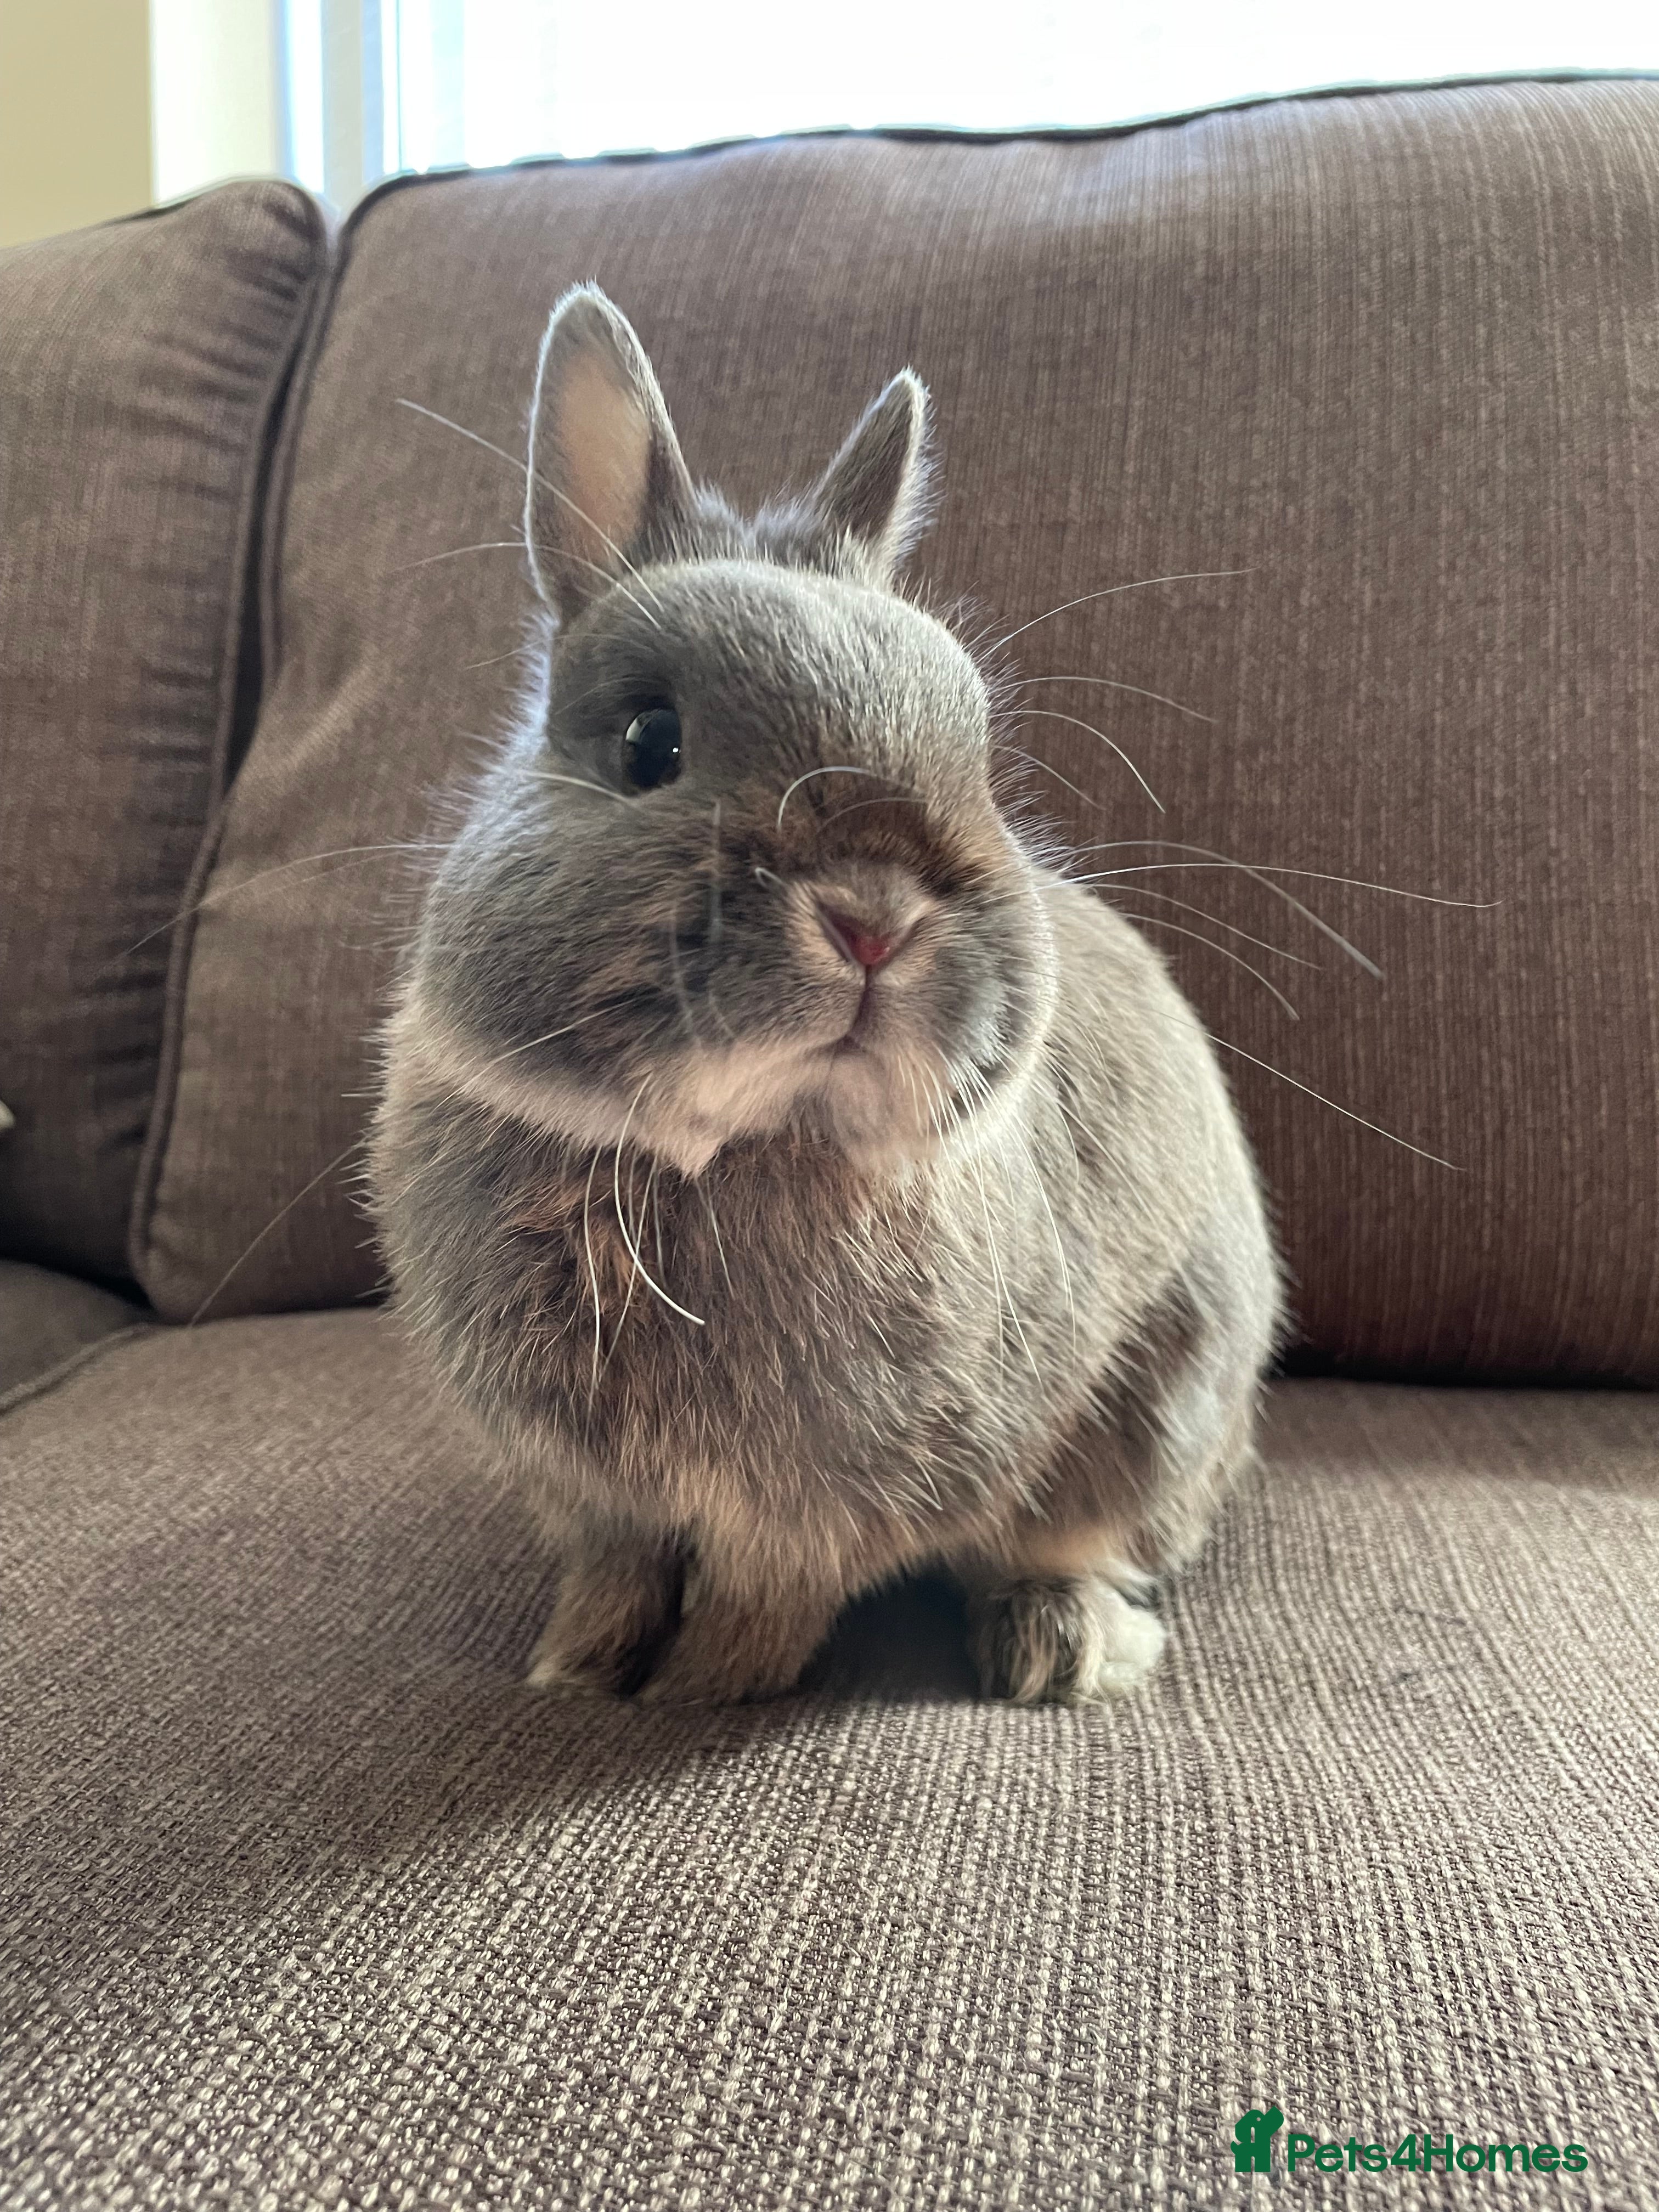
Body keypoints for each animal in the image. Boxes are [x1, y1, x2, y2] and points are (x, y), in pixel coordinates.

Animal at [369, 284, 1284, 1706]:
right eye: (649, 743)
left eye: (976, 754)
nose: (874, 919)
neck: (720, 1154)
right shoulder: (591, 1494)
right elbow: (615, 1570)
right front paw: (577, 1669)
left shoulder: (835, 1504)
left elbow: (770, 1595)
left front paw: (703, 1689)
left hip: (1170, 1395)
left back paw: (1058, 1646)